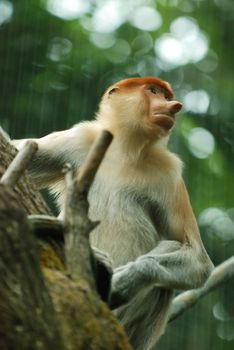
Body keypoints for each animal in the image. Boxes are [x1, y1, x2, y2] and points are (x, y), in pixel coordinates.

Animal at [13, 78, 214, 348]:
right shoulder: (77, 140)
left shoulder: (170, 174)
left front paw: (125, 280)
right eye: (153, 91)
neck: (125, 149)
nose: (175, 106)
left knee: (165, 271)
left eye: (166, 96)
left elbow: (197, 258)